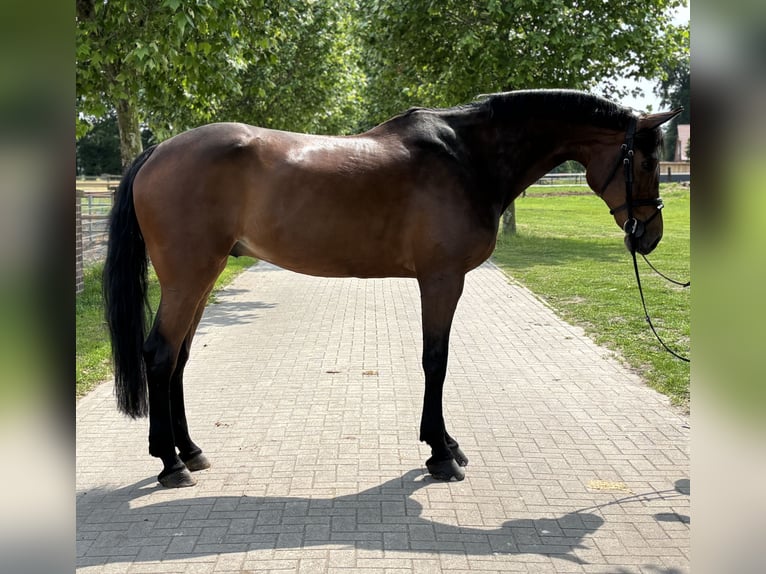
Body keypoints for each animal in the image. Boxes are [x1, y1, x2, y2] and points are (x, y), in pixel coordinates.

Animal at [103, 89, 681, 487]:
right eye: (647, 160)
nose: (650, 235)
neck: (467, 157)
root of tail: (157, 151)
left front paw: (446, 443)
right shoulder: (442, 279)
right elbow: (436, 360)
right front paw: (441, 453)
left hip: (204, 276)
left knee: (178, 359)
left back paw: (191, 450)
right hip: (190, 276)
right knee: (160, 355)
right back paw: (171, 464)